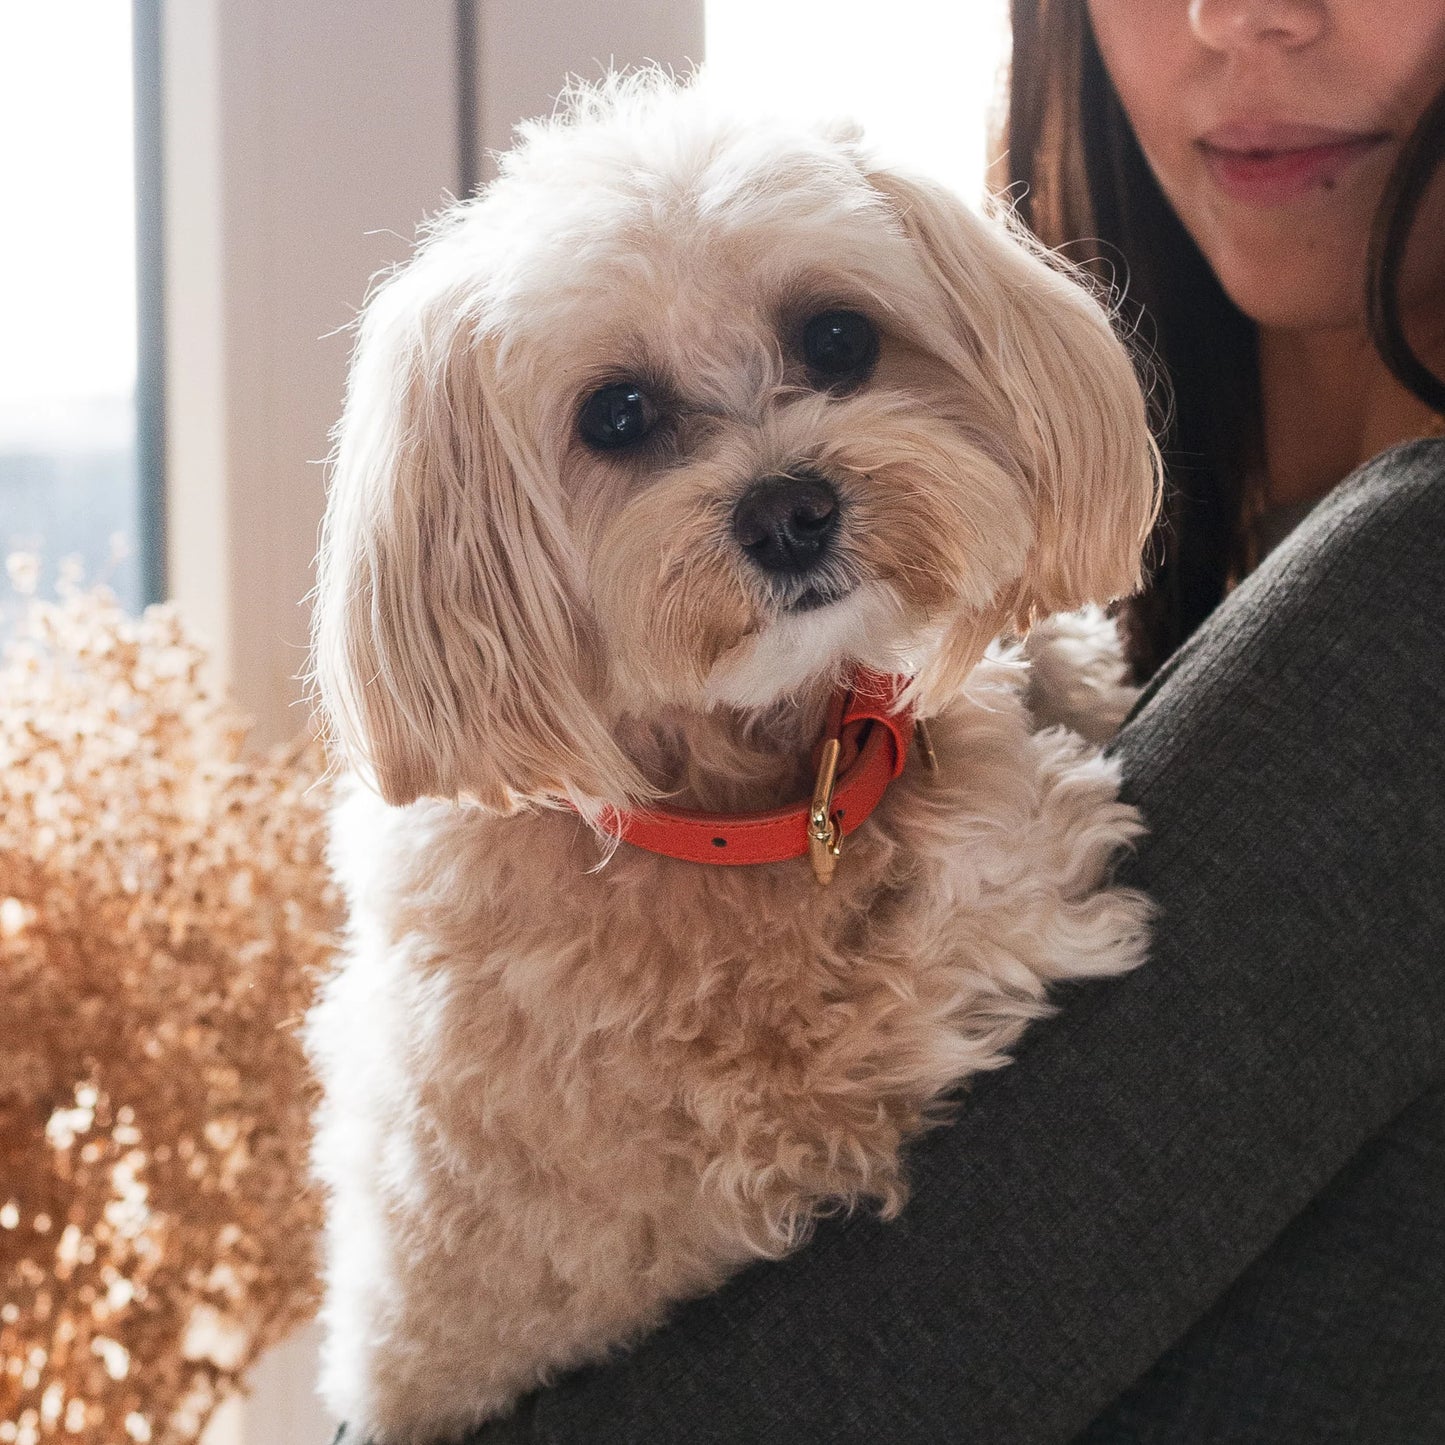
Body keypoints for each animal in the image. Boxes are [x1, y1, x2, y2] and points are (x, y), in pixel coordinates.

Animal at [307, 70, 1161, 1445]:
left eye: (836, 339)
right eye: (615, 415)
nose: (789, 510)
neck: (724, 797)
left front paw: (1055, 667)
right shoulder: (775, 1117)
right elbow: (953, 908)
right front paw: (1007, 793)